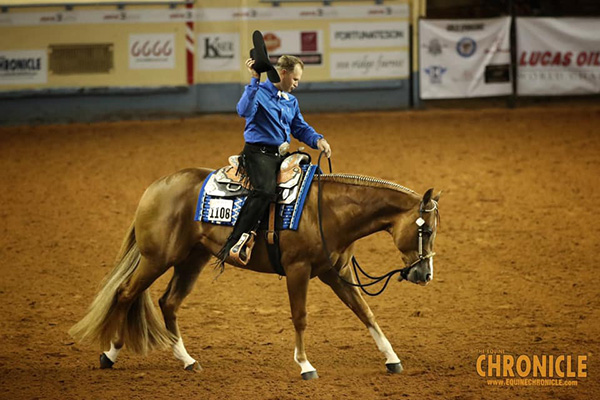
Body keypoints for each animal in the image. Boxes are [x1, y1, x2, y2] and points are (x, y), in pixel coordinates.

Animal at [70, 166, 440, 378]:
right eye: (425, 229)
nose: (424, 274)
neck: (328, 210)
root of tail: (155, 187)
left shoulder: (335, 272)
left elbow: (364, 311)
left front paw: (392, 359)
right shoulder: (298, 269)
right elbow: (300, 316)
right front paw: (305, 365)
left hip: (191, 260)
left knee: (168, 302)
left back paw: (187, 360)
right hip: (157, 258)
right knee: (126, 294)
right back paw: (110, 354)